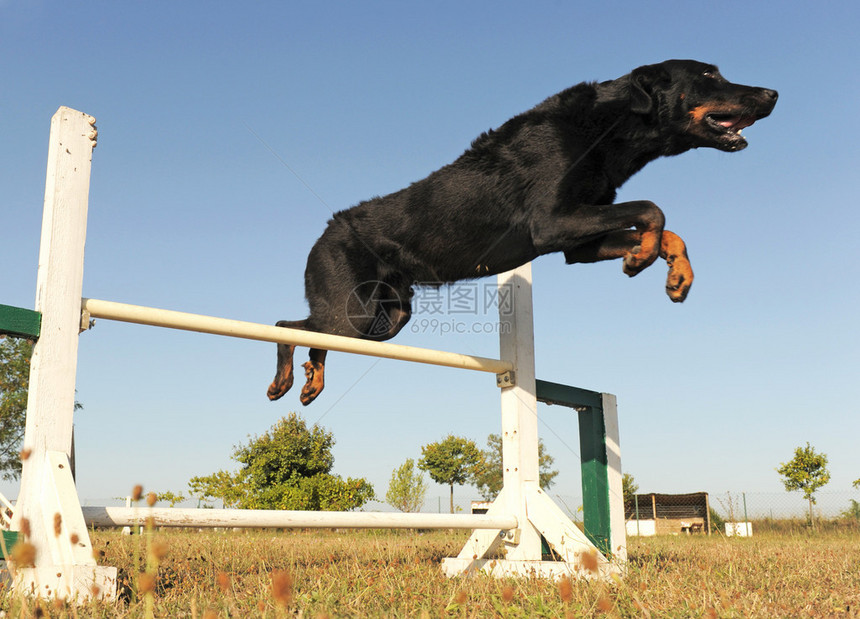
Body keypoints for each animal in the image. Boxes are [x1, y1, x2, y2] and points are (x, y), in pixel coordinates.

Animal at [268, 59, 780, 406]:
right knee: (288, 327)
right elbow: (652, 209)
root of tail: (325, 230)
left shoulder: (579, 241)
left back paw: (310, 384)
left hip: (387, 319)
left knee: (314, 337)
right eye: (709, 75)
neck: (607, 129)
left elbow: (666, 228)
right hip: (353, 312)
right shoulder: (553, 222)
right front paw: (643, 257)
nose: (774, 93)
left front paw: (676, 274)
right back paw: (285, 381)